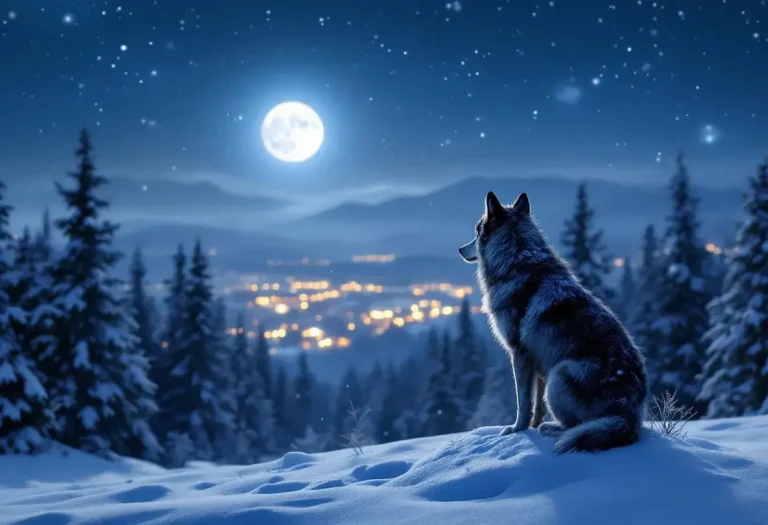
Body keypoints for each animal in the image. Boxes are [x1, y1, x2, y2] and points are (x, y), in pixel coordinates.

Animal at [458, 191, 647, 453]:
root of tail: (628, 407)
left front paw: (516, 430)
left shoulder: (519, 354)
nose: (459, 249)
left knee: (576, 425)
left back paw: (554, 429)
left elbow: (522, 402)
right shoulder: (538, 361)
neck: (517, 259)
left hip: (559, 374)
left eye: (476, 232)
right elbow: (536, 405)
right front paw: (532, 425)